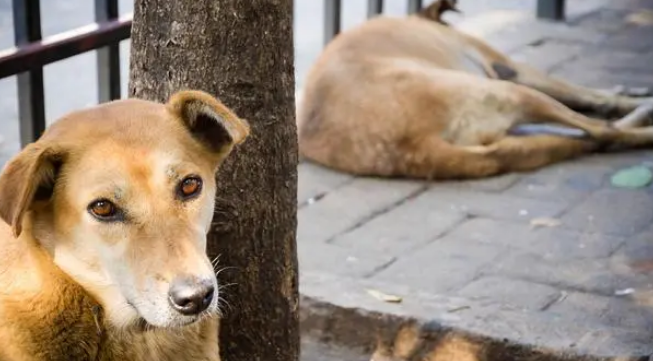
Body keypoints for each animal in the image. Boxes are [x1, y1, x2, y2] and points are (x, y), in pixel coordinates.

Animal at [298, 0, 652, 180]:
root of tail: (413, 148)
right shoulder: (508, 66)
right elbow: (585, 91)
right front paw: (627, 96)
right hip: (506, 89)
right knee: (602, 131)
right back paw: (644, 120)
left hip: (505, 129)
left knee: (587, 137)